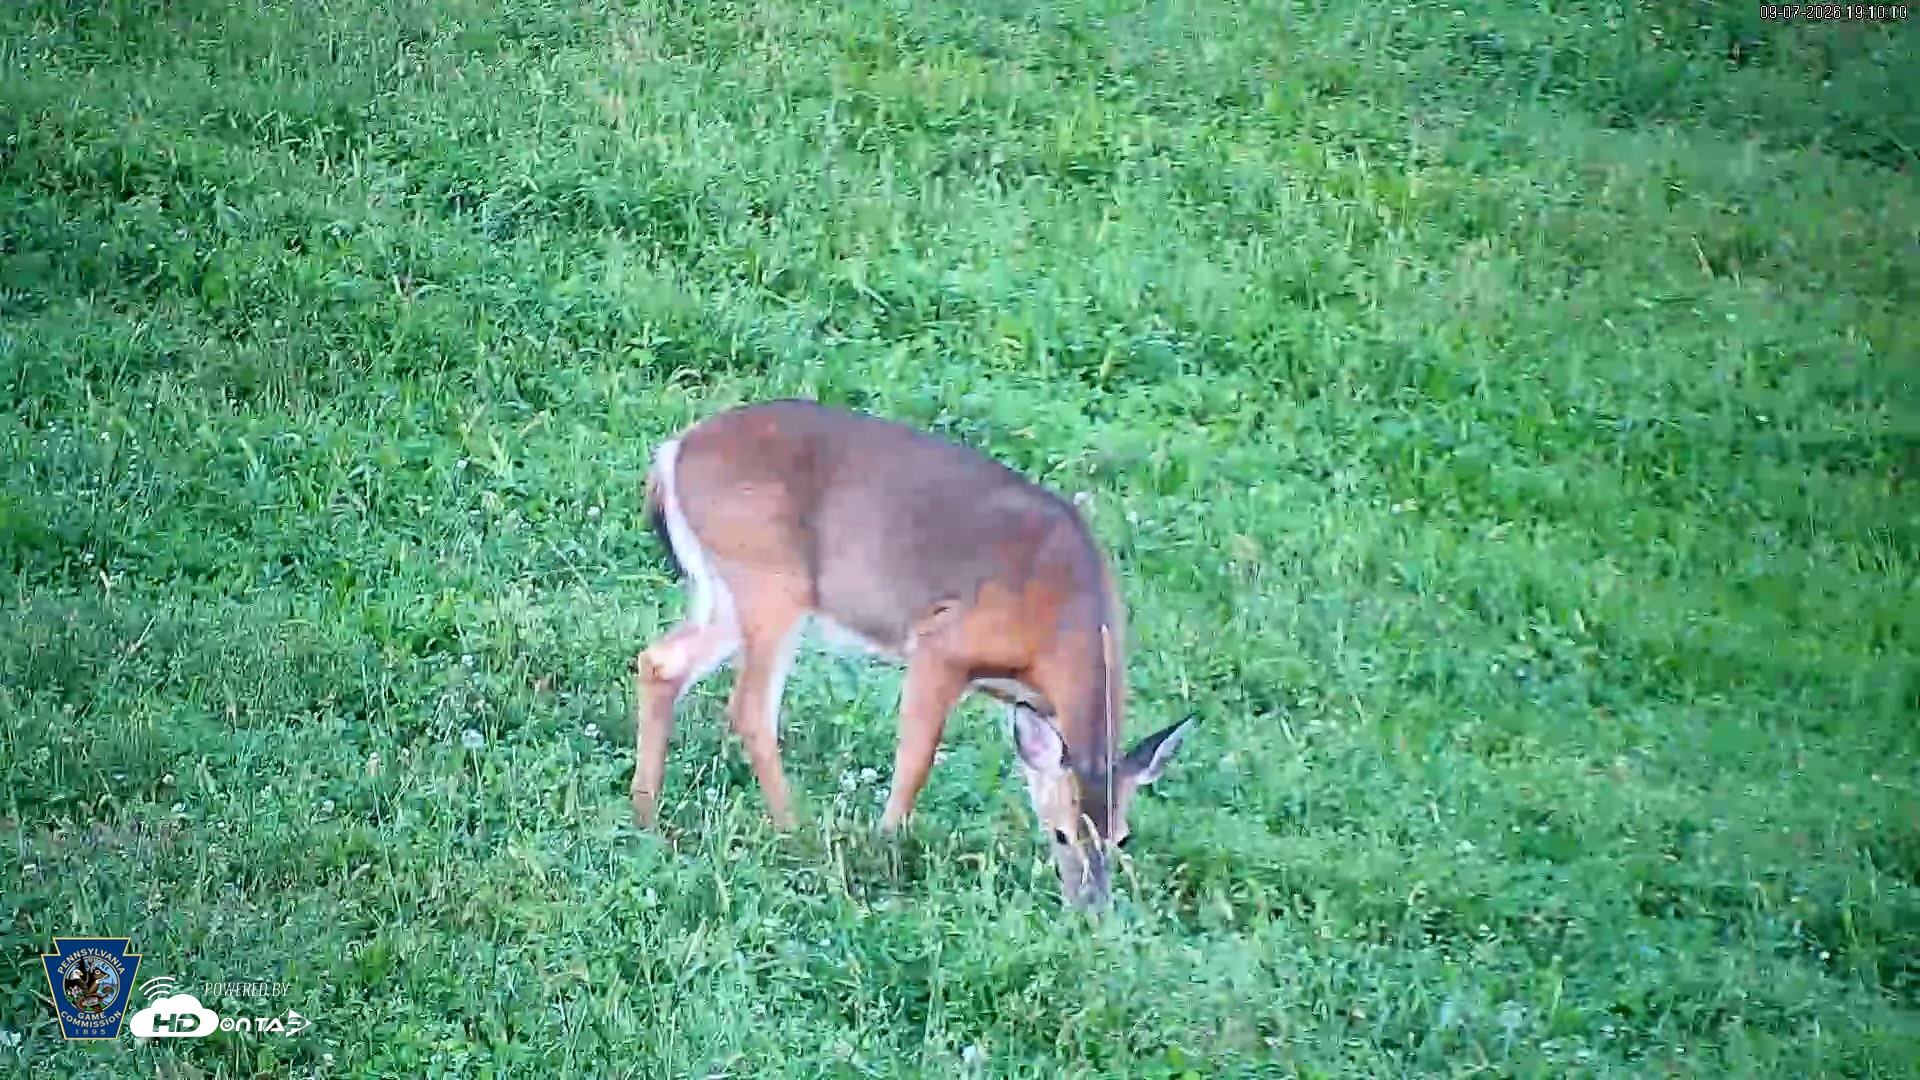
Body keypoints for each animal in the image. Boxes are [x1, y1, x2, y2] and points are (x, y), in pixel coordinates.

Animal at [628, 398, 1194, 909]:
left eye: (1122, 838)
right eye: (1060, 834)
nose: (1091, 909)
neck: (1063, 613)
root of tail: (673, 452)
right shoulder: (940, 644)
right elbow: (917, 758)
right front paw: (886, 844)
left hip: (725, 593)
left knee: (660, 662)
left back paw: (646, 816)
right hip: (772, 583)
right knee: (749, 707)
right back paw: (794, 831)